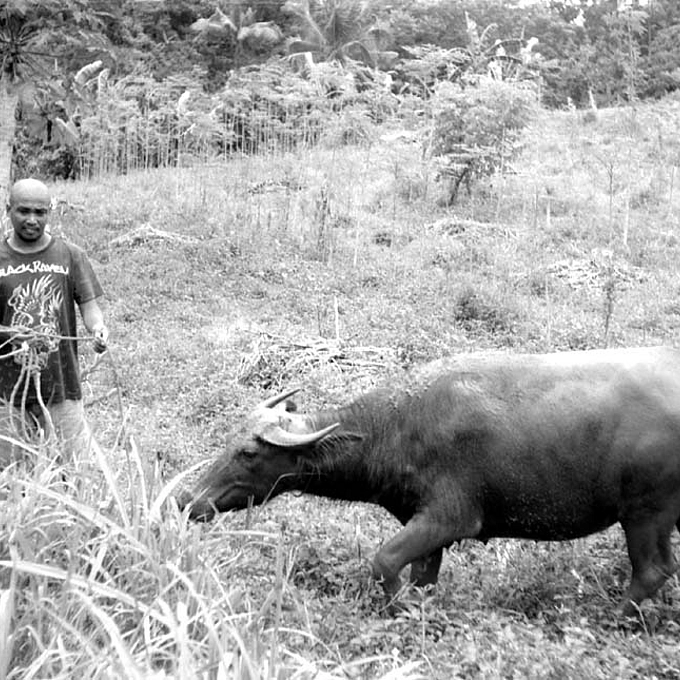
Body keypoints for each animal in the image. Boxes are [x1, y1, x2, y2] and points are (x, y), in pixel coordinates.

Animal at [178, 346, 680, 616]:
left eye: (248, 453)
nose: (187, 499)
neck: (399, 428)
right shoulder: (428, 527)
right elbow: (422, 578)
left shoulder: (450, 519)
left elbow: (383, 561)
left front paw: (402, 609)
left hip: (646, 514)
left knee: (652, 571)